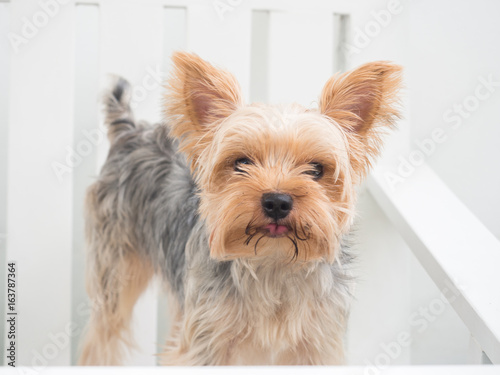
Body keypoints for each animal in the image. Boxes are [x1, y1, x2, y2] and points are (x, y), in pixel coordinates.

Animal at [79, 51, 402, 366]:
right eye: (242, 163)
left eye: (316, 169)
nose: (277, 201)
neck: (274, 262)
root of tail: (130, 132)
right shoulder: (206, 342)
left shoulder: (319, 344)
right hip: (116, 267)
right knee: (103, 334)